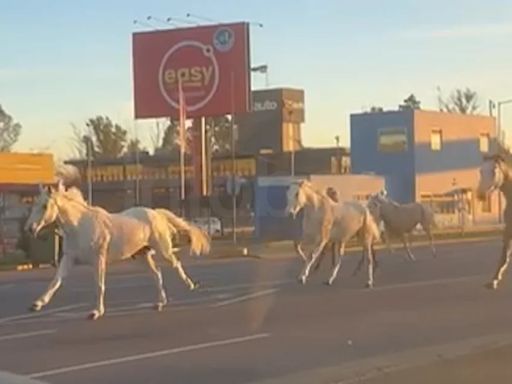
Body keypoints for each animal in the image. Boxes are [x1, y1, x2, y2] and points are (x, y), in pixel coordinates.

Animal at [25, 182, 209, 320]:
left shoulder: (98, 259)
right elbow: (56, 281)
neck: (80, 226)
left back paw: (191, 285)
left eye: (45, 206)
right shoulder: (69, 258)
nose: (30, 229)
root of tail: (156, 213)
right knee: (156, 273)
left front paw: (96, 312)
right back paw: (159, 303)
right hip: (142, 256)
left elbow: (99, 284)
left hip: (164, 250)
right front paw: (36, 304)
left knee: (176, 264)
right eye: (34, 205)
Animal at [476, 154, 512, 290]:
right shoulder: (508, 229)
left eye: (494, 170)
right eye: (481, 171)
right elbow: (504, 253)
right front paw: (494, 280)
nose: (480, 194)